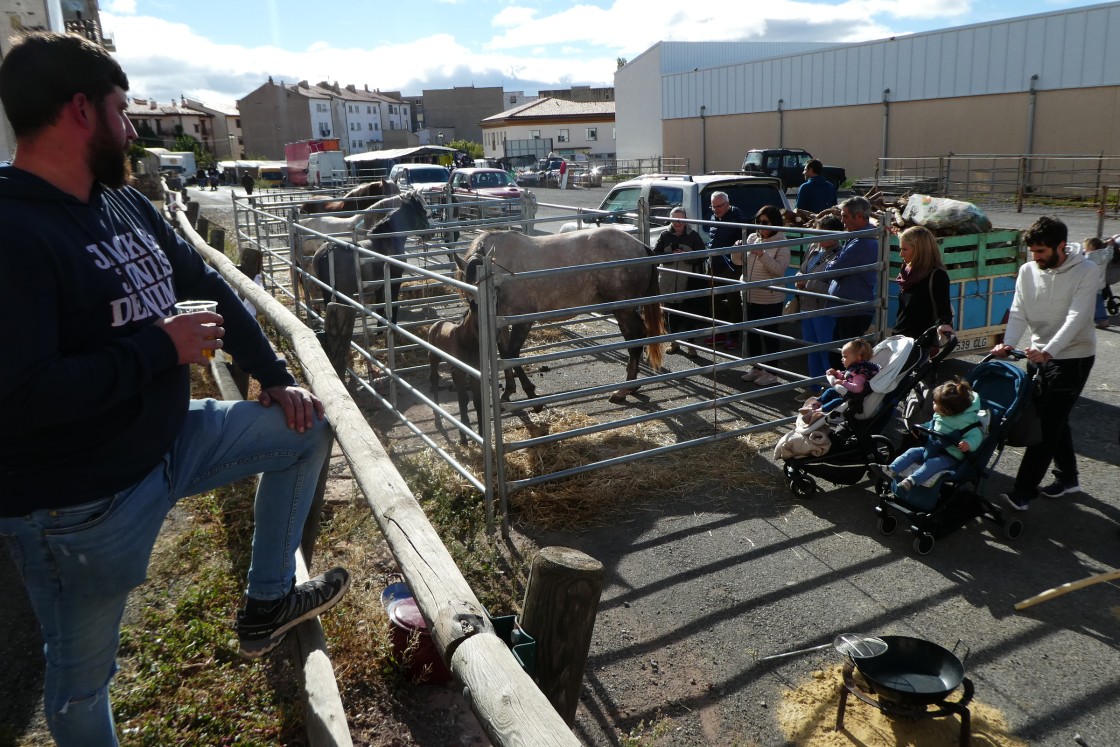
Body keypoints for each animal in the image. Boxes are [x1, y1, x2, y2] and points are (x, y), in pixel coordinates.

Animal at [454, 226, 663, 403]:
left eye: (493, 291)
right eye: (470, 295)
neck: (504, 272)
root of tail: (641, 246)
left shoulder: (523, 320)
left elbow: (513, 354)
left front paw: (530, 391)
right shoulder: (502, 321)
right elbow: (504, 354)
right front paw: (508, 391)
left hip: (623, 309)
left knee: (635, 338)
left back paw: (623, 391)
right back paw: (633, 386)